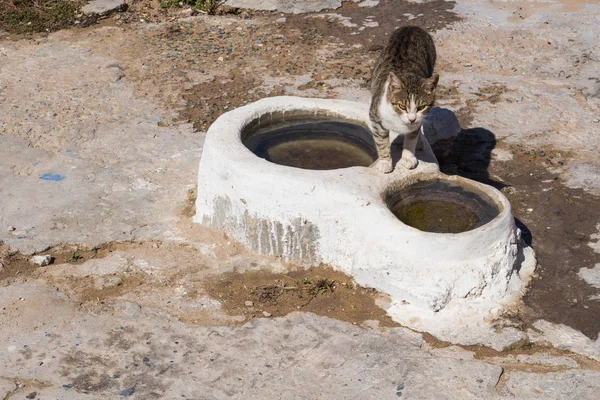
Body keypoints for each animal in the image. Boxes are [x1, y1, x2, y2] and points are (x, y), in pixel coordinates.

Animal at [368, 25, 438, 173]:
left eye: (421, 107)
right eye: (402, 106)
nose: (411, 119)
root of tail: (411, 27)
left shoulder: (417, 122)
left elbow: (411, 139)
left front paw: (407, 158)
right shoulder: (376, 118)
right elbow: (381, 141)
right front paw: (385, 162)